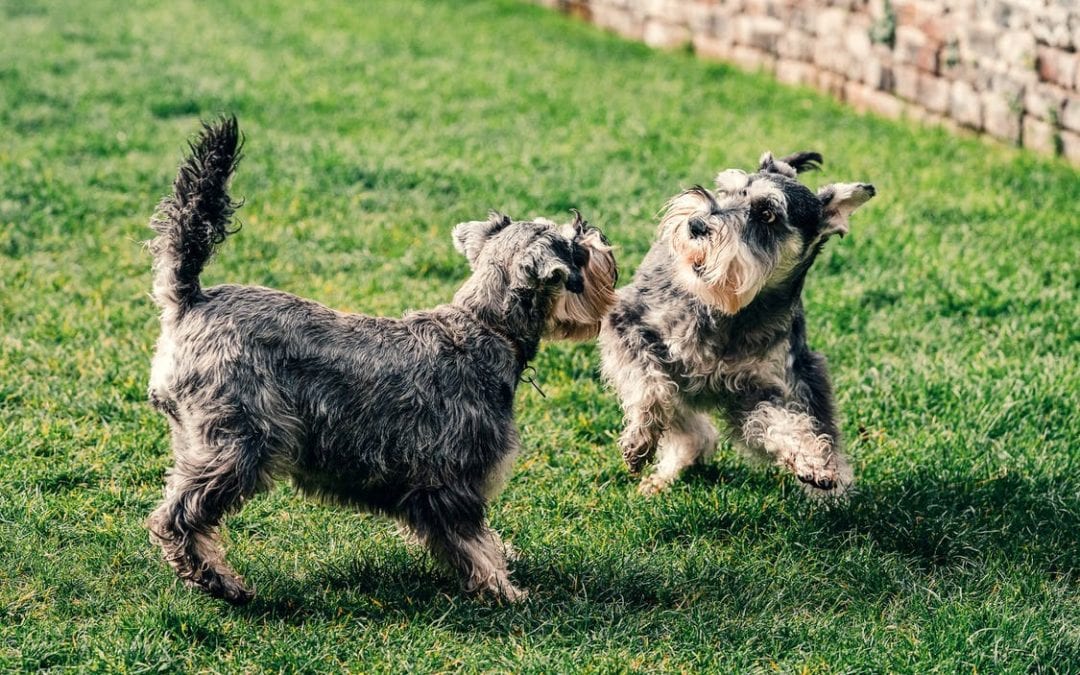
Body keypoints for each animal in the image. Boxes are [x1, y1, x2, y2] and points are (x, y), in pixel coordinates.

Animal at [144, 117, 617, 604]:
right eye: (573, 246)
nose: (596, 233)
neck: (486, 327)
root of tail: (191, 300)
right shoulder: (453, 481)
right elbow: (472, 542)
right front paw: (504, 591)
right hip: (240, 445)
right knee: (177, 516)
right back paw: (220, 581)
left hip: (198, 441)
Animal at [600, 154, 876, 501]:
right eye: (726, 191)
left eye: (767, 214)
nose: (696, 225)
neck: (732, 313)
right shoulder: (627, 324)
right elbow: (650, 386)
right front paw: (639, 440)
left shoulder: (765, 389)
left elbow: (781, 420)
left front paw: (813, 460)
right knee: (687, 425)